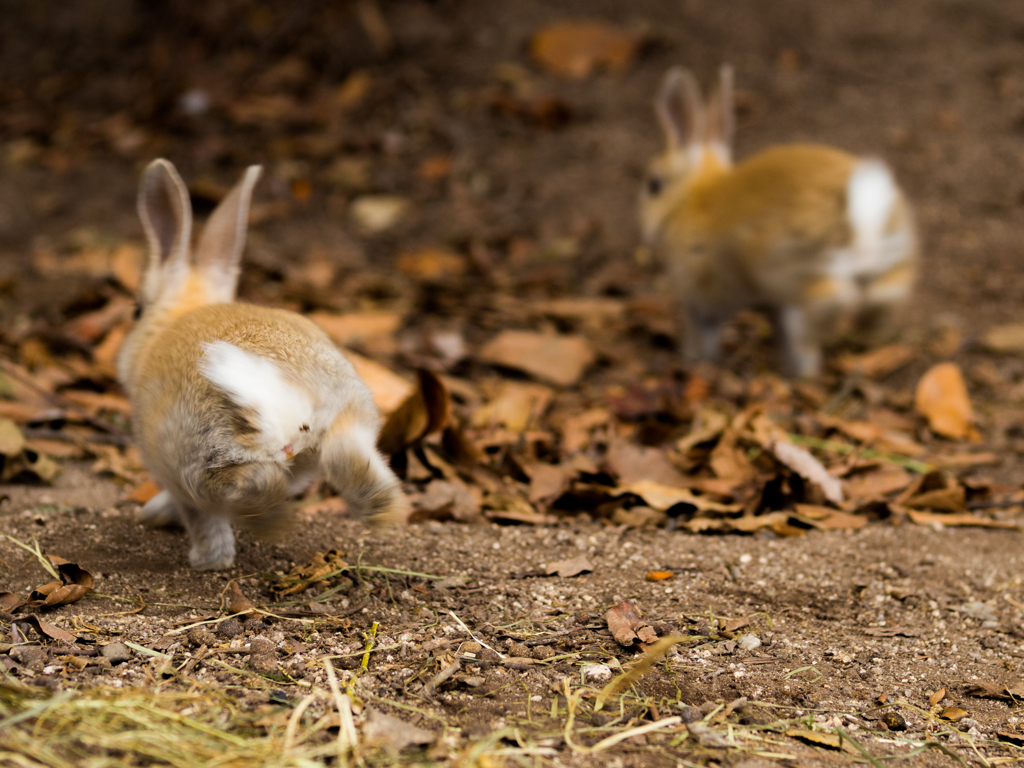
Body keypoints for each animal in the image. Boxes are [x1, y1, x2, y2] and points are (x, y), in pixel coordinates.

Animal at [117, 160, 405, 573]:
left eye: (136, 310)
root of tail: (272, 391)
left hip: (199, 462)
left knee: (244, 492)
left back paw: (227, 548)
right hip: (350, 414)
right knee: (347, 458)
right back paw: (380, 509)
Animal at [638, 67, 921, 378]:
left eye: (653, 185)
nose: (646, 227)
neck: (691, 199)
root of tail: (863, 226)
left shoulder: (700, 298)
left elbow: (703, 333)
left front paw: (694, 359)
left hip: (797, 285)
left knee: (818, 319)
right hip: (889, 276)